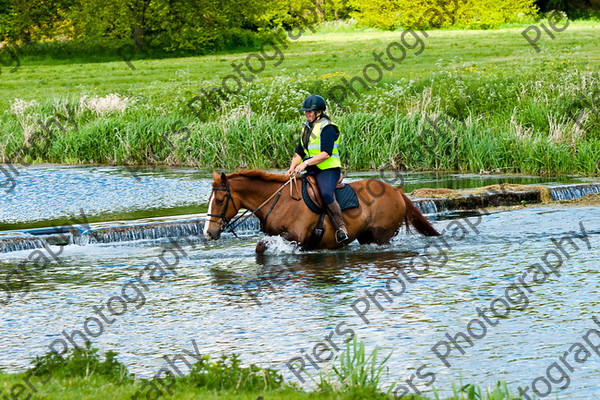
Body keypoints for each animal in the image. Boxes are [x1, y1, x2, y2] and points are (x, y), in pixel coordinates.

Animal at [204, 170, 438, 252]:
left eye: (220, 200)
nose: (208, 232)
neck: (278, 201)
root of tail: (396, 191)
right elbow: (260, 248)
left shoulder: (294, 236)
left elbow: (261, 247)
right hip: (366, 236)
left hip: (381, 236)